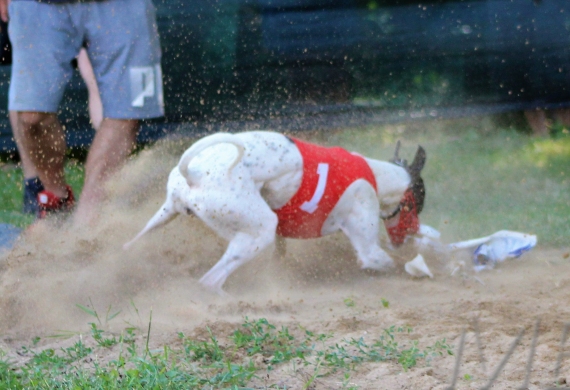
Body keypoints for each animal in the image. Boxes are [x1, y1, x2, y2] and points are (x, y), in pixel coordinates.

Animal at [125, 131, 426, 292]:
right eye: (417, 205)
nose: (413, 234)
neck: (377, 174)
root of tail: (194, 173)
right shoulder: (366, 233)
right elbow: (382, 260)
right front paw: (415, 269)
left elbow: (279, 254)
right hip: (259, 230)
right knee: (210, 281)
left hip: (164, 214)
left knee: (131, 244)